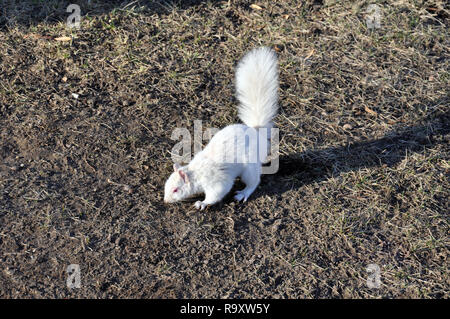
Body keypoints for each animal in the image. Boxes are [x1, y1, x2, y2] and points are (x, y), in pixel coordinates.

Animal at [163, 46, 280, 209]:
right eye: (166, 186)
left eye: (175, 189)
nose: (165, 201)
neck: (196, 173)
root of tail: (256, 132)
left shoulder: (217, 181)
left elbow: (217, 192)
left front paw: (202, 203)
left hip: (249, 166)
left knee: (254, 181)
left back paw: (243, 193)